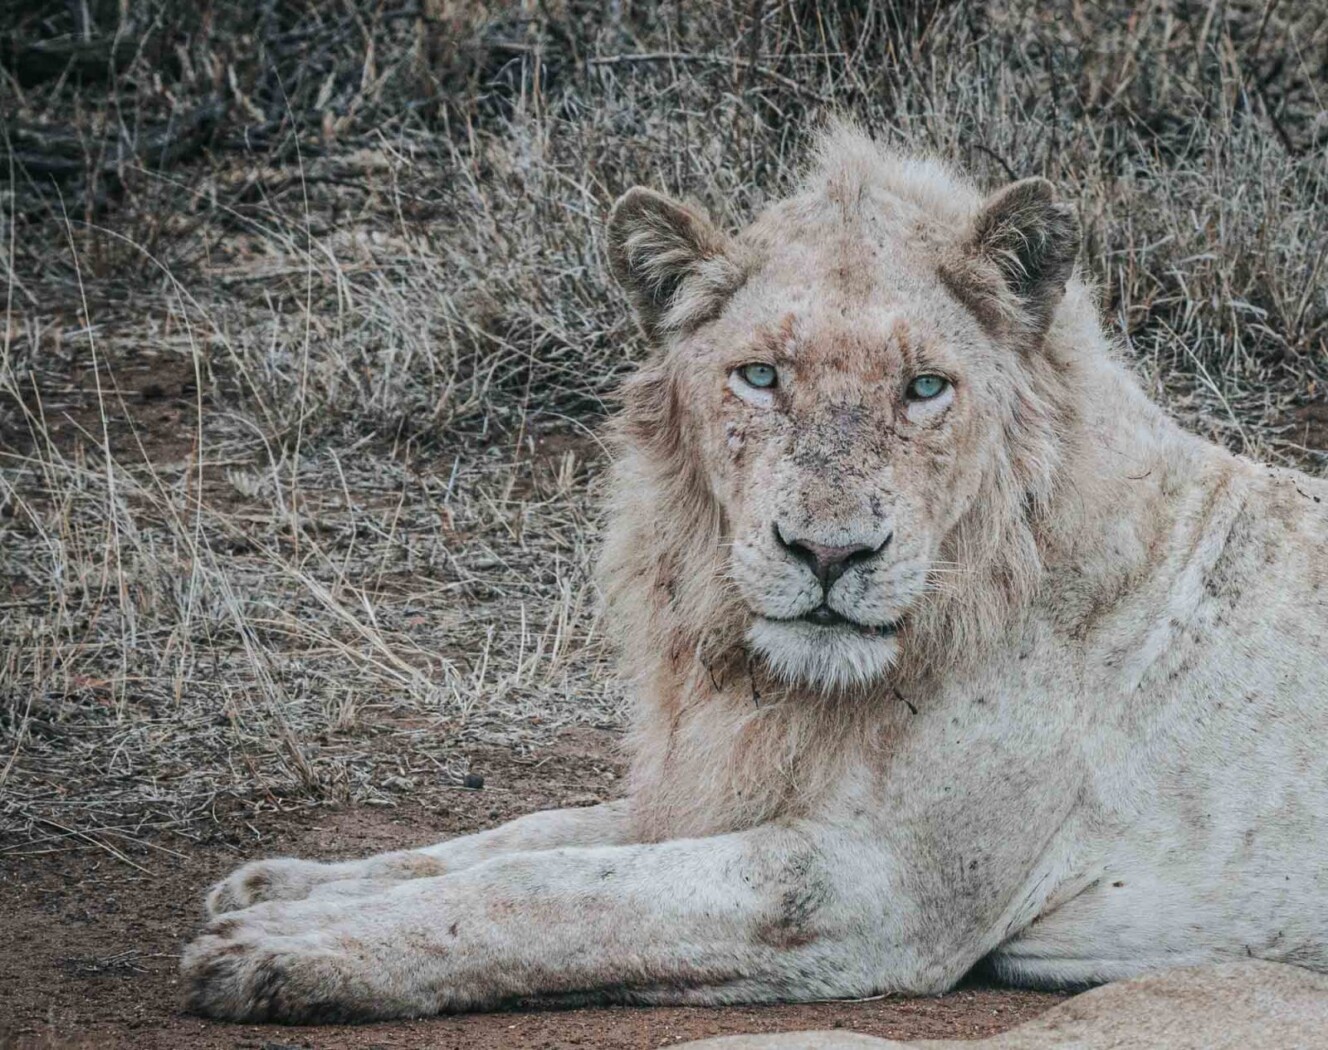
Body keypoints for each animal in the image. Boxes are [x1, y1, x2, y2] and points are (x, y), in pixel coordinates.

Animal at [179, 125, 1328, 1024]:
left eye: (924, 388)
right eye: (761, 376)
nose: (827, 553)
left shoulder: (872, 887)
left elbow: (562, 891)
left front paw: (286, 950)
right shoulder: (718, 786)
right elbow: (527, 836)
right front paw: (279, 886)